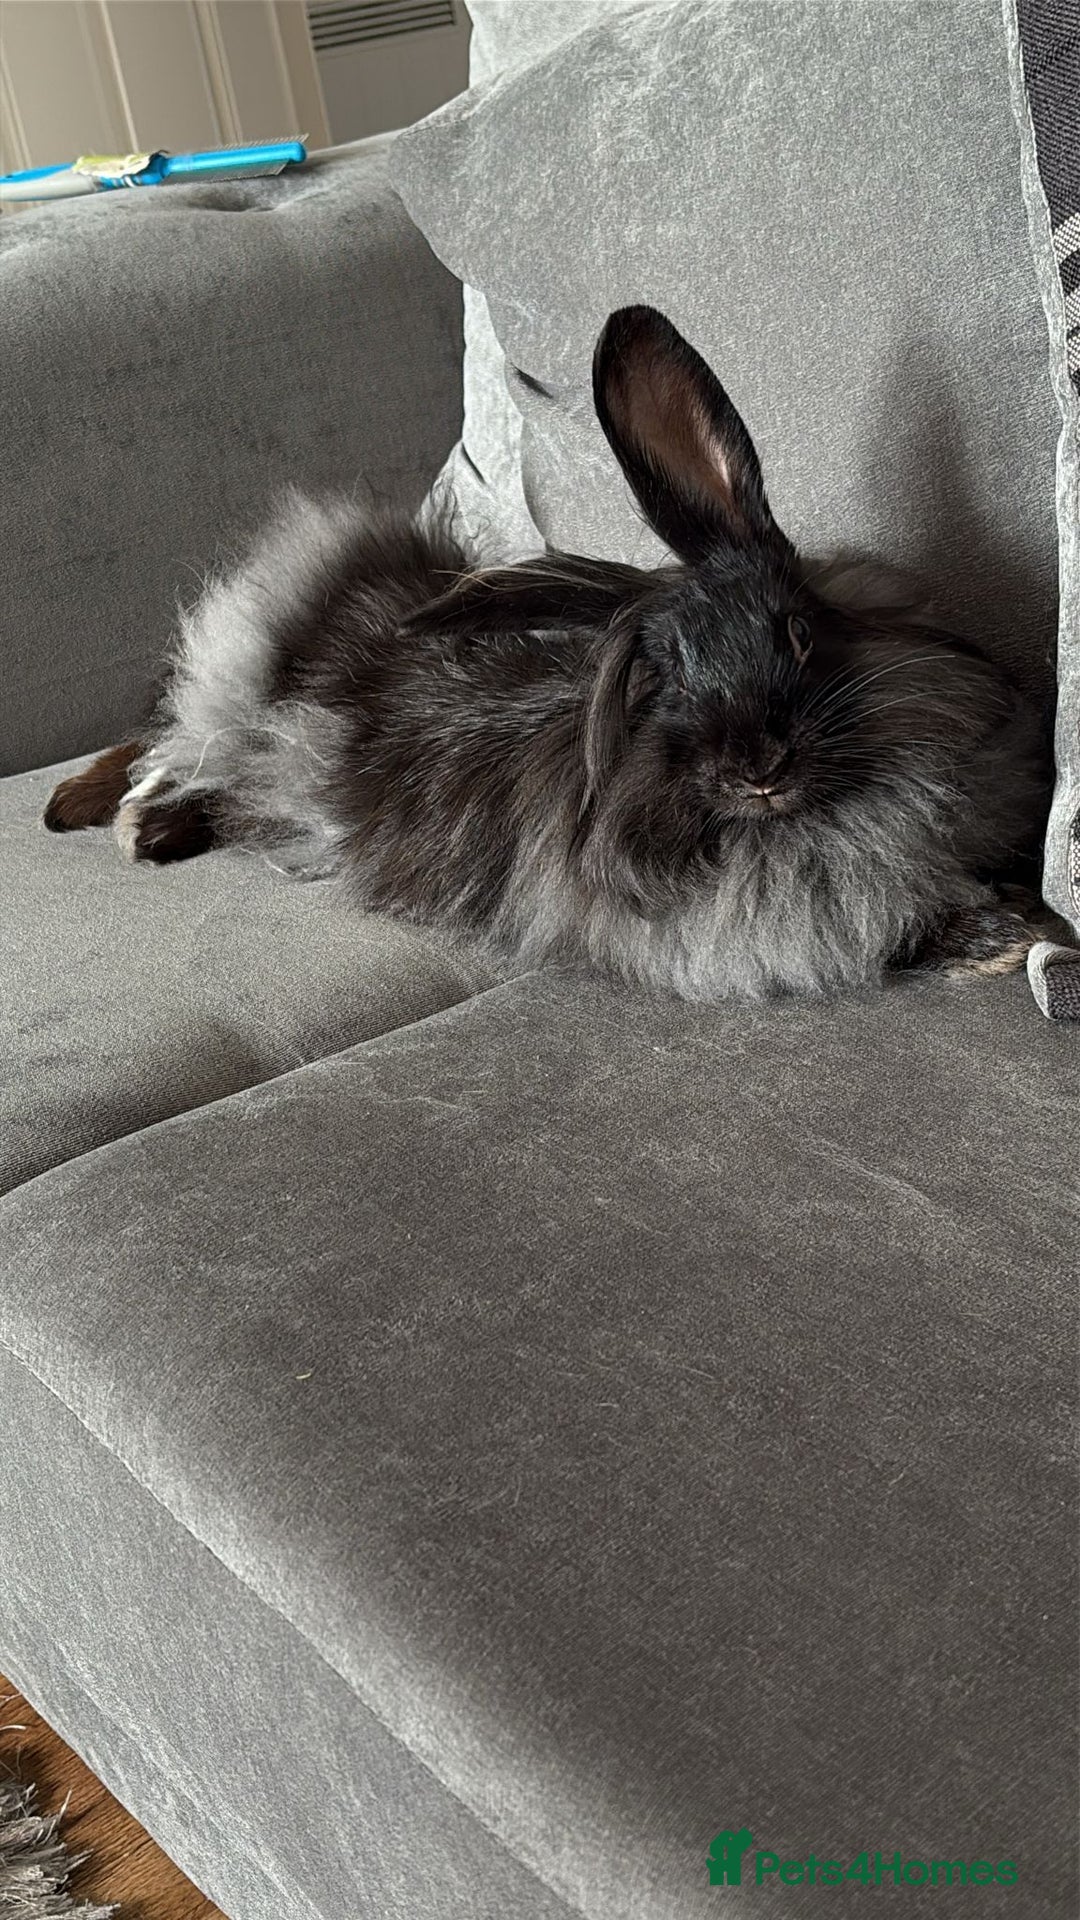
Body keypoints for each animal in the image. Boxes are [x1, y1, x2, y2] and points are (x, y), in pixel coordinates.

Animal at [45, 305, 1050, 999]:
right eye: (663, 681)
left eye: (799, 634)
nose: (756, 769)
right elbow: (903, 934)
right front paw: (1009, 944)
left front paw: (1019, 925)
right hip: (241, 688)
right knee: (167, 750)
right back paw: (124, 822)